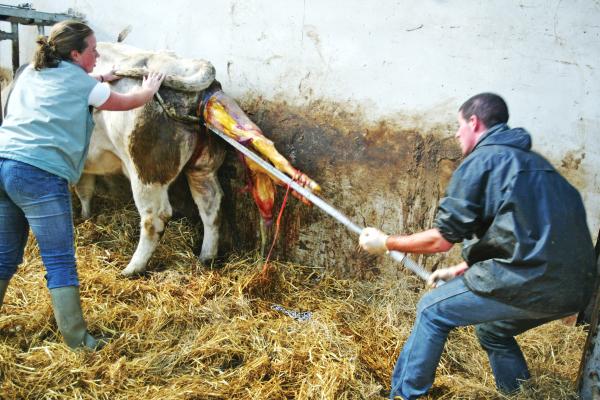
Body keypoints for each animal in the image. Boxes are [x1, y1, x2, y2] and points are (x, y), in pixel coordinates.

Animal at [78, 42, 319, 276]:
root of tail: (189, 67)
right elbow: (85, 190)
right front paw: (86, 216)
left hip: (146, 170)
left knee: (155, 216)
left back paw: (132, 269)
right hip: (203, 166)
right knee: (211, 204)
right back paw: (206, 257)